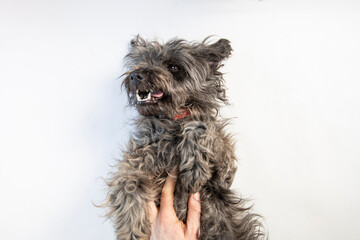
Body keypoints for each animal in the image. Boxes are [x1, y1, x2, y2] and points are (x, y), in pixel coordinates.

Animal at [104, 36, 264, 240]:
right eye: (142, 60)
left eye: (173, 66)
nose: (135, 75)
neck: (172, 122)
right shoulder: (136, 163)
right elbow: (126, 182)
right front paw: (132, 230)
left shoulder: (223, 176)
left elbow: (202, 127)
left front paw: (194, 168)